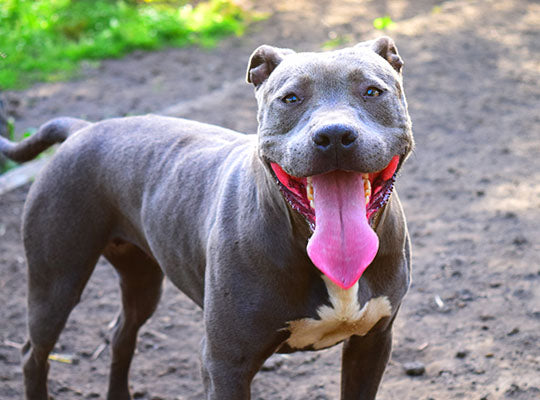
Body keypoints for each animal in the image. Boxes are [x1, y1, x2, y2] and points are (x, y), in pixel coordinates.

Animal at [1, 36, 414, 398]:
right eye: (290, 98)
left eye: (372, 91)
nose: (334, 135)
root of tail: (82, 129)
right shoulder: (224, 364)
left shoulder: (372, 343)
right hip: (55, 283)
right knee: (33, 354)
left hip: (141, 278)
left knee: (121, 334)